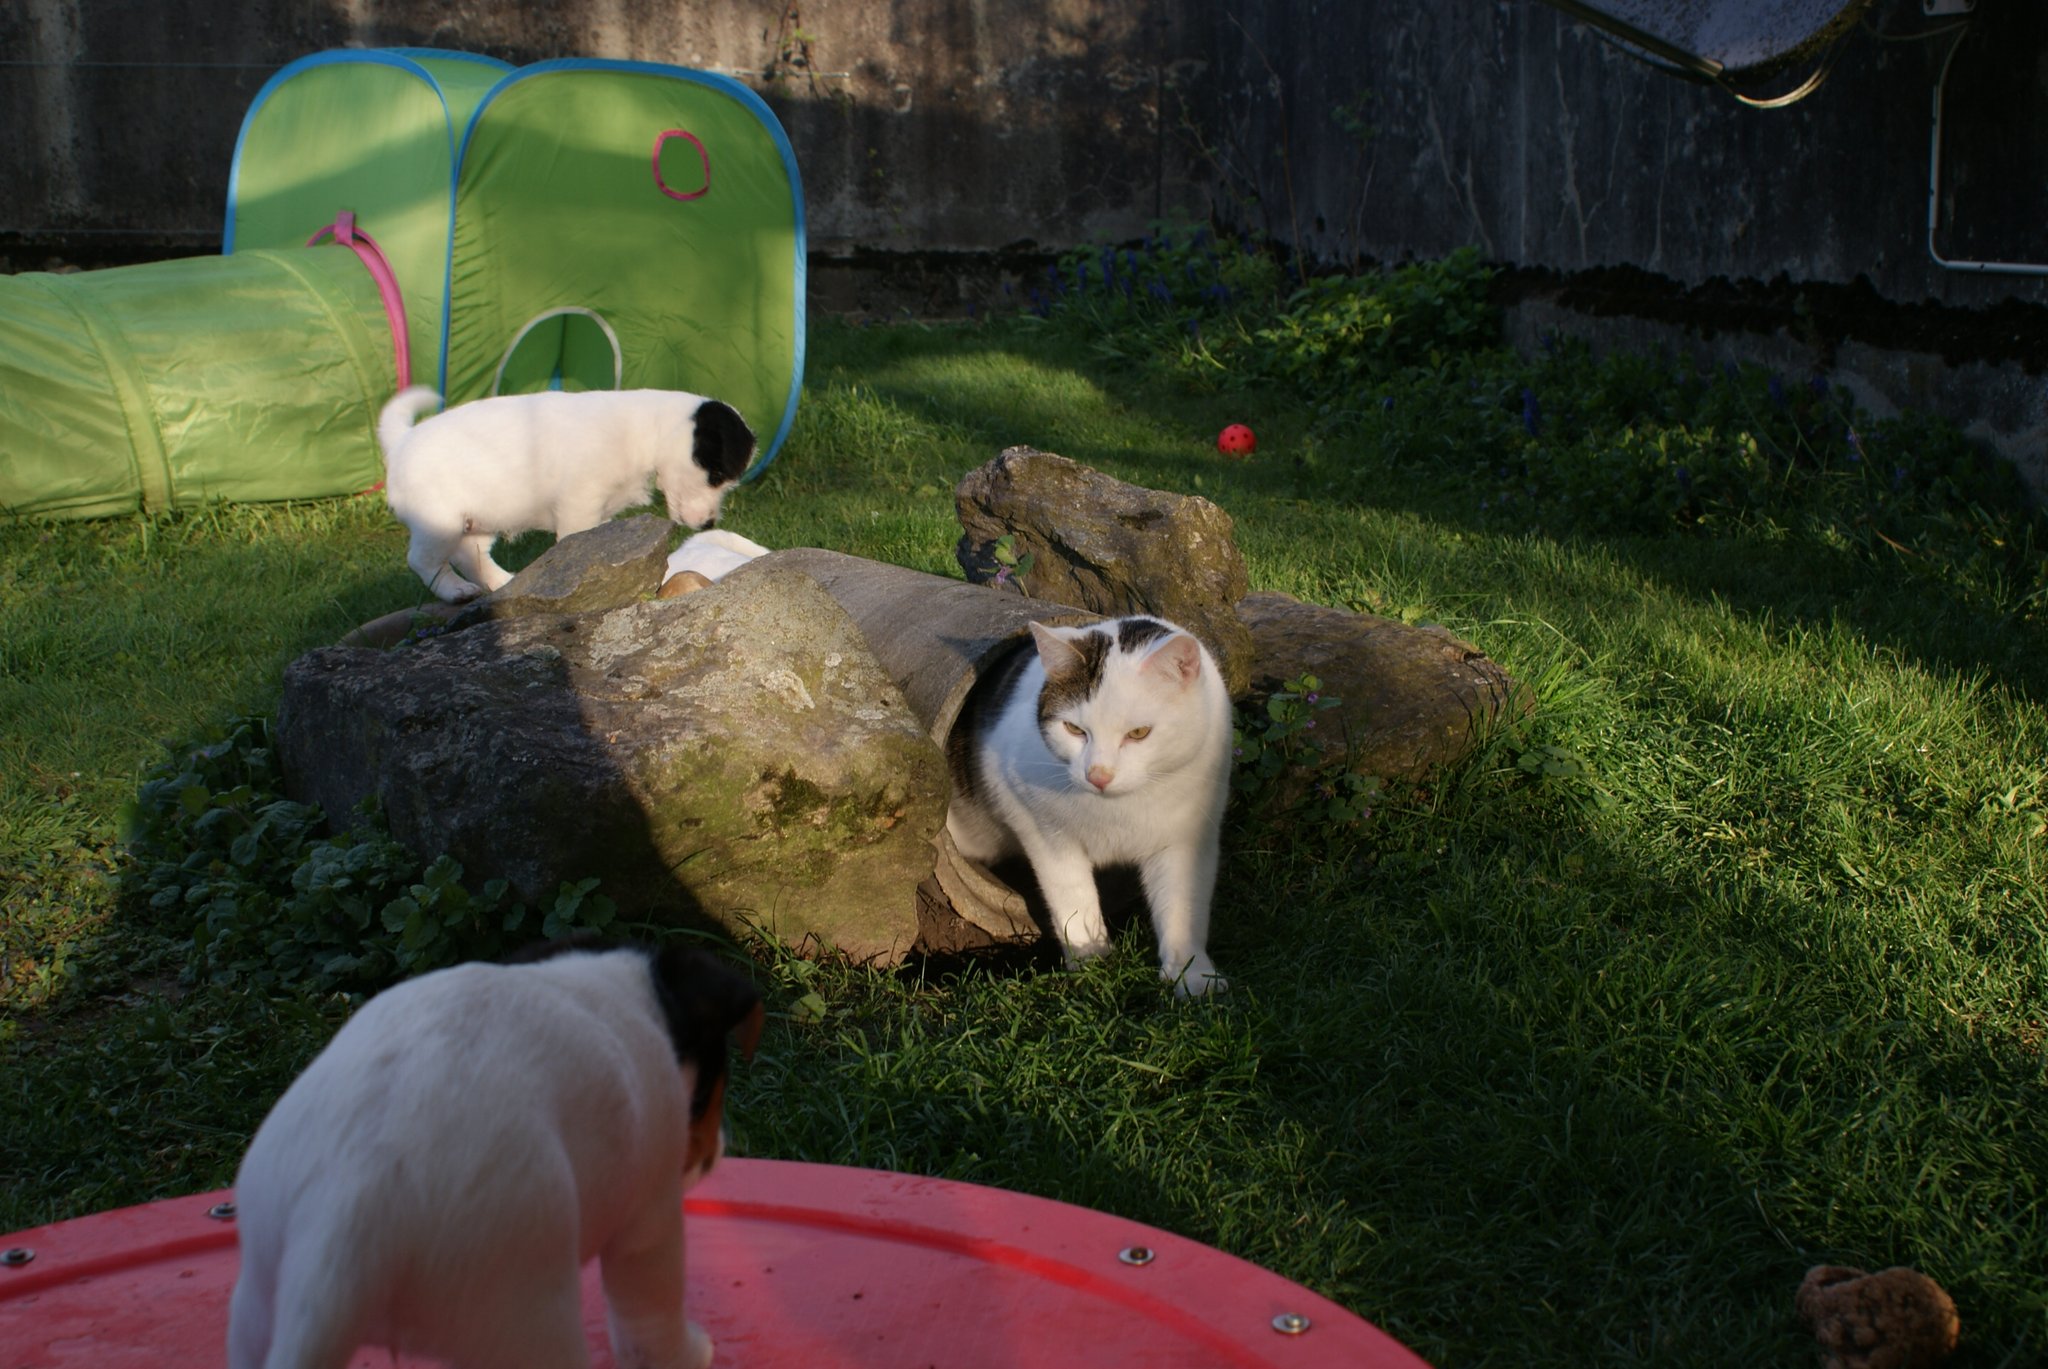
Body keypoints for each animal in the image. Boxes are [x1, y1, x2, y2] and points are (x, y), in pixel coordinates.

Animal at [226, 943, 763, 1369]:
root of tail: (346, 1213)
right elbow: (652, 1317)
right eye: (709, 1093)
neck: (624, 986)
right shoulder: (649, 1223)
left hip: (257, 1302)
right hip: (525, 1323)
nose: (717, 1151)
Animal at [376, 386, 756, 603]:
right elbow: (577, 538)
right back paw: (454, 591)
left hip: (477, 521)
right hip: (439, 521)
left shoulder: (601, 511)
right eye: (716, 475)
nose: (708, 524)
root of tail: (402, 441)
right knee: (424, 561)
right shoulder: (581, 504)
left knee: (472, 555)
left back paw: (502, 583)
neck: (646, 429)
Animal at [945, 616, 1234, 996]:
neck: (1118, 808)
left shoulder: (1188, 836)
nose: (1098, 775)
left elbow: (1182, 905)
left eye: (1139, 733)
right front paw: (1090, 962)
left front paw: (1193, 974)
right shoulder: (1038, 824)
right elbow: (1072, 897)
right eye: (1073, 729)